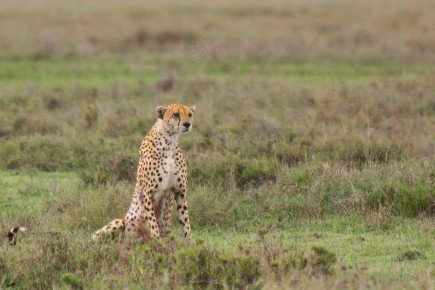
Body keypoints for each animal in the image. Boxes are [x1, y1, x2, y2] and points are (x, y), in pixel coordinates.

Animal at [93, 103, 196, 240]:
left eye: (190, 114)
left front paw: (190, 243)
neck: (170, 140)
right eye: (176, 115)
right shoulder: (147, 193)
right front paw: (158, 243)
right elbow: (153, 224)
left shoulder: (180, 191)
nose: (187, 124)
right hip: (120, 222)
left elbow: (186, 222)